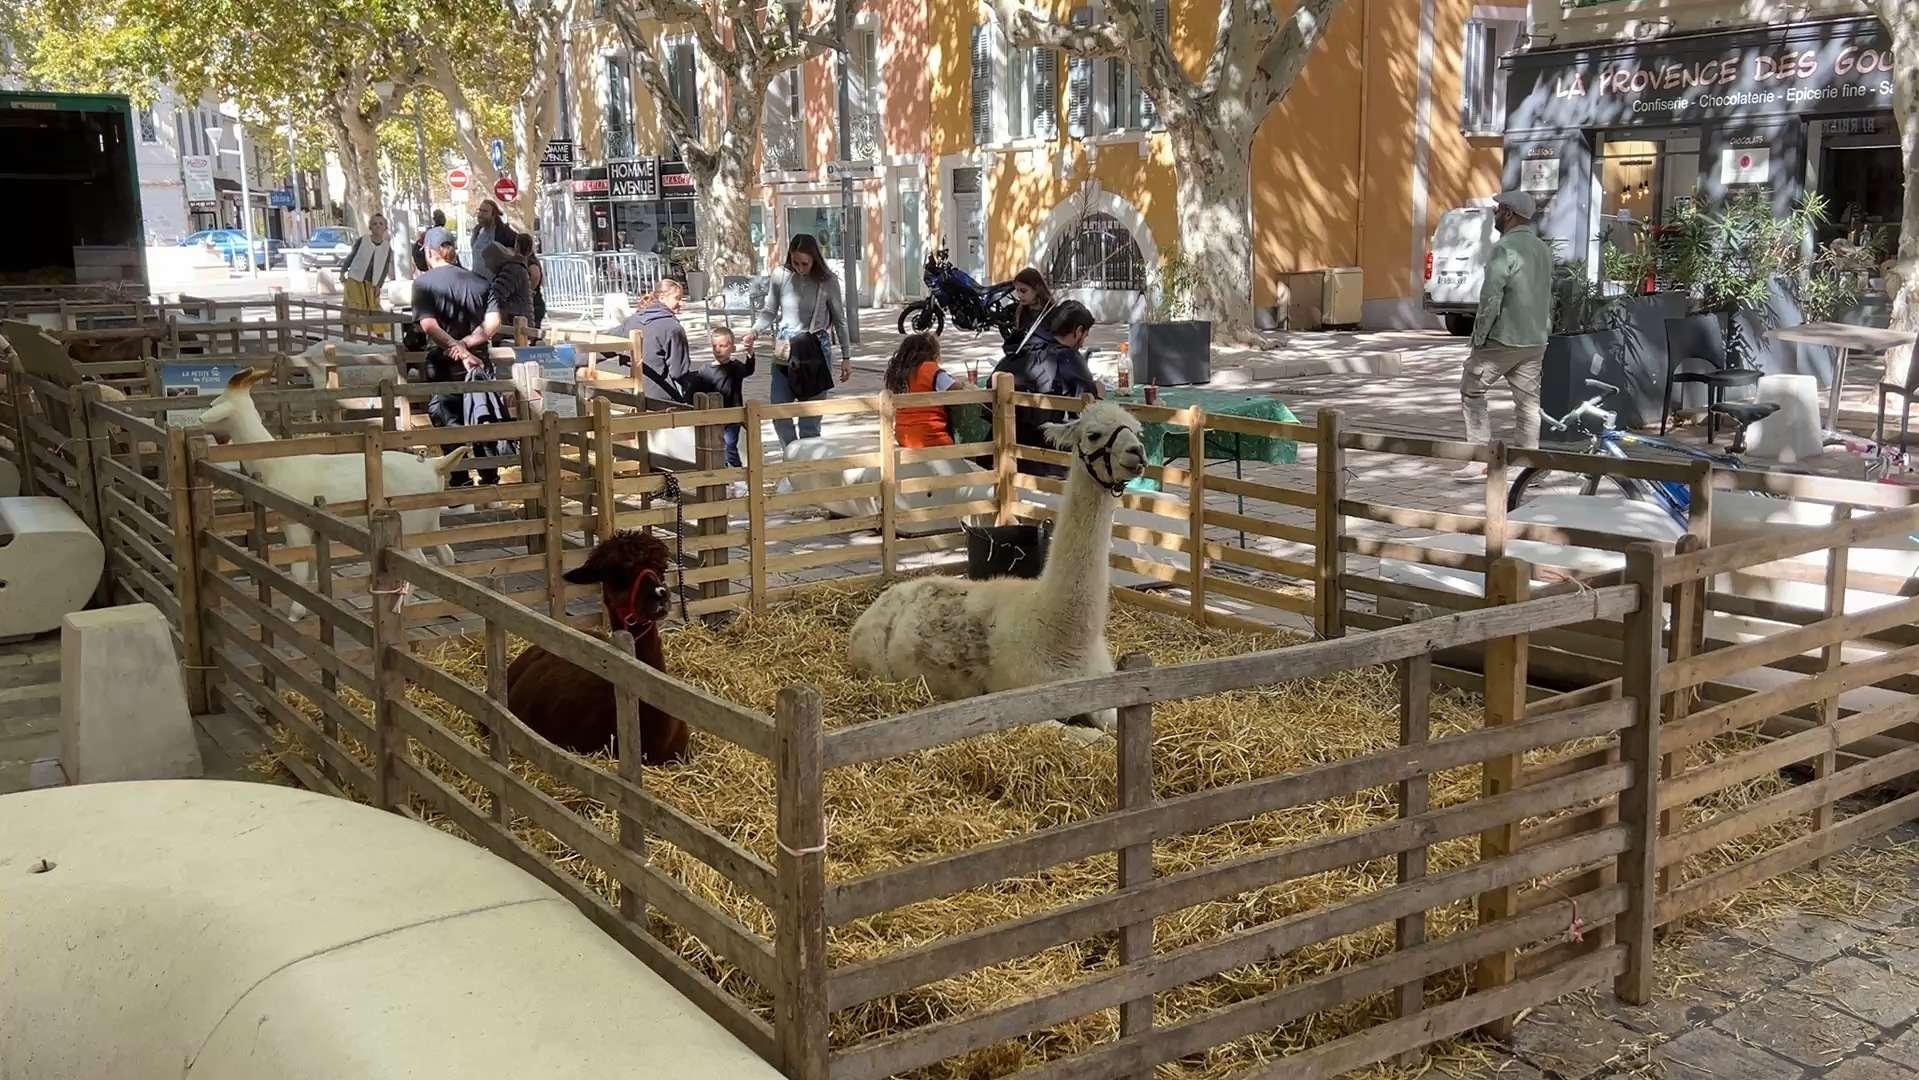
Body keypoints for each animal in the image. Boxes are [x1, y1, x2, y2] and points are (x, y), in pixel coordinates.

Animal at [195, 370, 468, 617]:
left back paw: (403, 609)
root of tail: (434, 464)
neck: (276, 463)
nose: (198, 421)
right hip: (429, 519)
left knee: (419, 564)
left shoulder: (294, 523)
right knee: (445, 554)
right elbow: (313, 565)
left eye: (214, 403)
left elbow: (299, 569)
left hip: (410, 525)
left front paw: (295, 613)